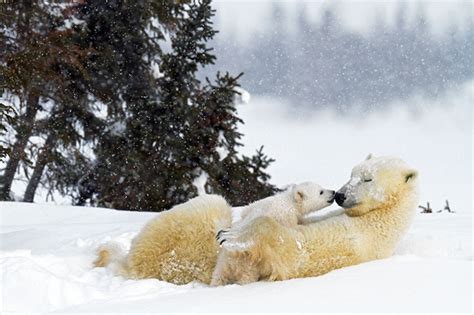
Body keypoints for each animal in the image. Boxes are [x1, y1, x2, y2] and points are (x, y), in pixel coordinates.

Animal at [93, 156, 418, 286]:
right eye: (353, 172)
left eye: (367, 178)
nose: (339, 194)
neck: (381, 219)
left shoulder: (352, 239)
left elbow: (293, 247)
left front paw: (232, 235)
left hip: (175, 236)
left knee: (213, 203)